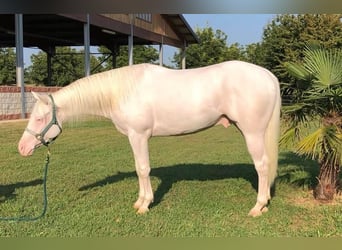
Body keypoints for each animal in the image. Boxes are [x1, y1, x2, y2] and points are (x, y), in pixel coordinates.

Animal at [18, 60, 280, 217]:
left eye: (39, 119)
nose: (22, 148)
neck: (122, 91)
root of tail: (268, 75)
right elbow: (139, 168)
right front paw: (140, 201)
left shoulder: (139, 135)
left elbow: (142, 168)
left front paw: (144, 204)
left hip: (252, 133)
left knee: (262, 166)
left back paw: (258, 206)